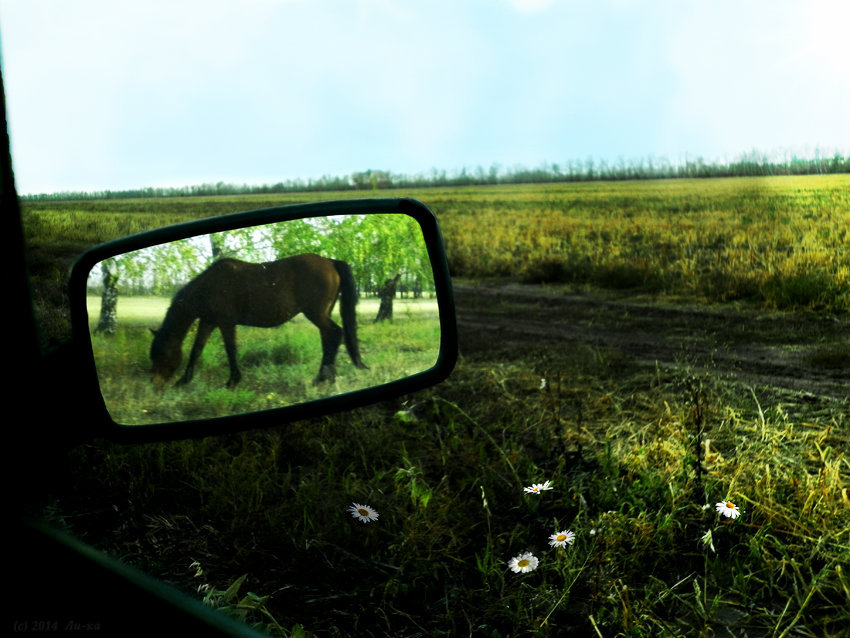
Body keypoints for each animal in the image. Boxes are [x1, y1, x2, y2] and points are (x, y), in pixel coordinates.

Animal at [148, 254, 364, 390]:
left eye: (162, 354)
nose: (155, 385)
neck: (209, 286)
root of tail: (330, 261)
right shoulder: (208, 322)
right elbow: (196, 350)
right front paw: (183, 381)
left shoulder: (226, 323)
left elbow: (231, 349)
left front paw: (232, 381)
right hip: (321, 314)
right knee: (328, 338)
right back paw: (324, 377)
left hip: (316, 314)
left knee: (335, 334)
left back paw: (324, 378)